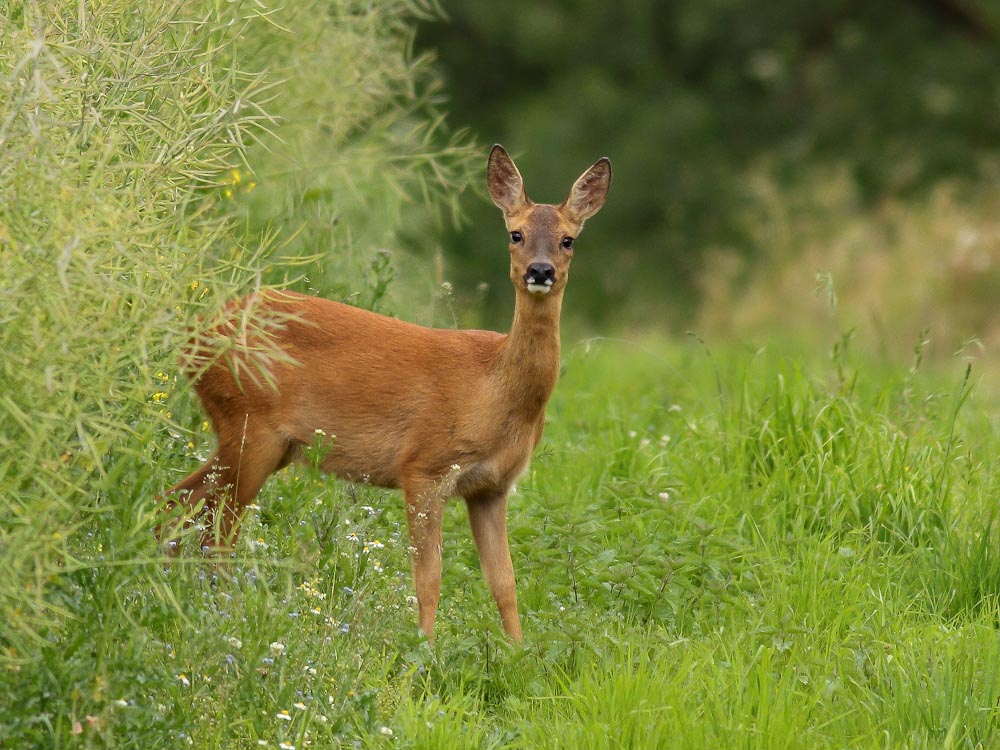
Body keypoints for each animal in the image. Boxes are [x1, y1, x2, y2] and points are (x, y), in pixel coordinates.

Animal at [164, 147, 608, 648]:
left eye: (568, 240)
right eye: (516, 234)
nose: (540, 271)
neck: (494, 390)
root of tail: (192, 336)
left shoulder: (492, 487)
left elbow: (505, 582)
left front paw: (518, 651)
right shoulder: (424, 466)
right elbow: (429, 576)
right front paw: (425, 649)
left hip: (260, 442)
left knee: (178, 503)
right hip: (249, 426)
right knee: (214, 536)